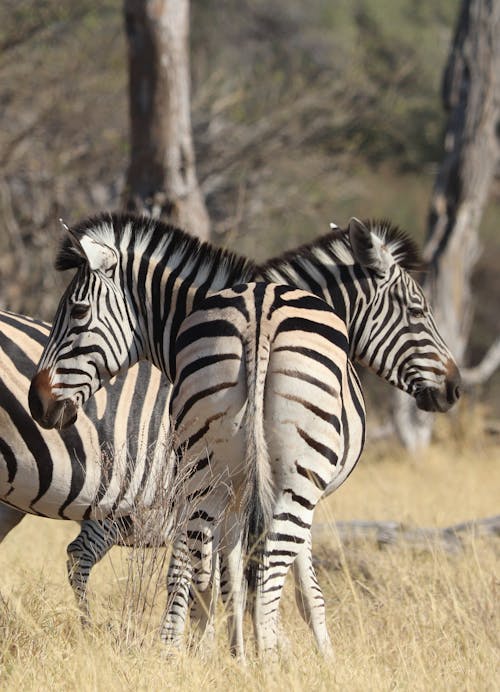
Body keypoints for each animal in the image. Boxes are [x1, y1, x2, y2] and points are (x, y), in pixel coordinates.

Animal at [28, 214, 460, 656]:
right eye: (417, 309)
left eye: (76, 310)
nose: (454, 386)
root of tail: (260, 314)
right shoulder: (302, 492)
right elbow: (301, 589)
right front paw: (315, 655)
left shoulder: (228, 492)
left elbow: (226, 577)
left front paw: (227, 651)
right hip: (291, 479)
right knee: (265, 569)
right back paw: (265, 658)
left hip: (206, 474)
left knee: (192, 561)